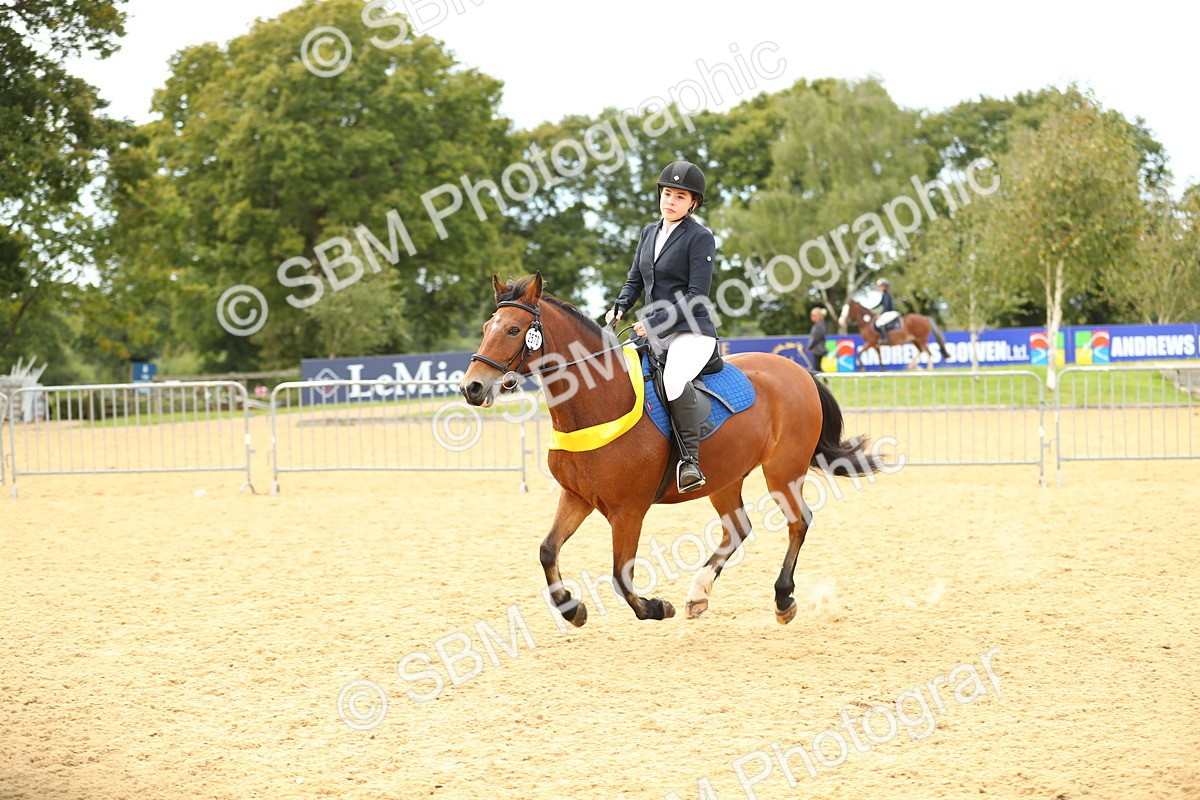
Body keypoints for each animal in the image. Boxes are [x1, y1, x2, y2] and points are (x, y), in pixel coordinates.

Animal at [459, 272, 882, 626]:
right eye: (485, 328)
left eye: (514, 329)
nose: (471, 388)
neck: (599, 401)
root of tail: (798, 371)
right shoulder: (577, 497)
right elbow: (548, 550)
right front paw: (571, 609)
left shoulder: (628, 510)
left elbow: (621, 574)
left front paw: (655, 607)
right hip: (725, 477)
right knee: (737, 527)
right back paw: (698, 594)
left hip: (783, 470)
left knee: (798, 521)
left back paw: (782, 599)